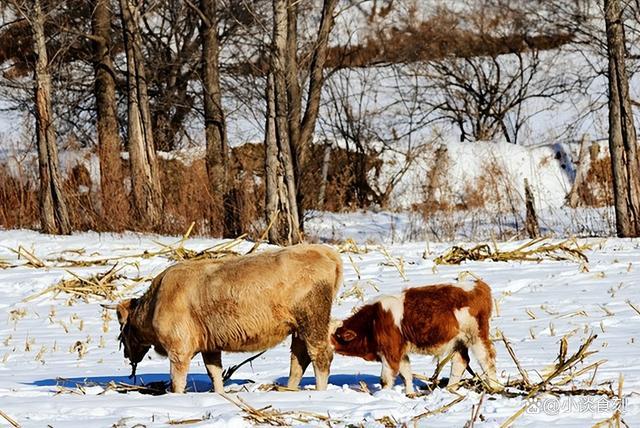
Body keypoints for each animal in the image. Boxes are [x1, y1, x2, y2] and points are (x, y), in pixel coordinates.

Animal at [115, 246, 344, 392]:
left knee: (320, 356)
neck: (155, 302)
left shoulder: (178, 348)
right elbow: (214, 373)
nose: (126, 354)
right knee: (298, 360)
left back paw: (320, 392)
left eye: (122, 329)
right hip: (299, 328)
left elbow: (177, 381)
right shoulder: (209, 346)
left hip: (313, 320)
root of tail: (324, 251)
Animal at [330, 280, 500, 392]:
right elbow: (406, 374)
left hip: (476, 336)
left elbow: (386, 379)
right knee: (460, 362)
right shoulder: (400, 351)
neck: (373, 321)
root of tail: (478, 285)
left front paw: (383, 397)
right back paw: (450, 389)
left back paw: (495, 387)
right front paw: (410, 394)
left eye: (331, 335)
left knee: (486, 359)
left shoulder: (390, 351)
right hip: (458, 341)